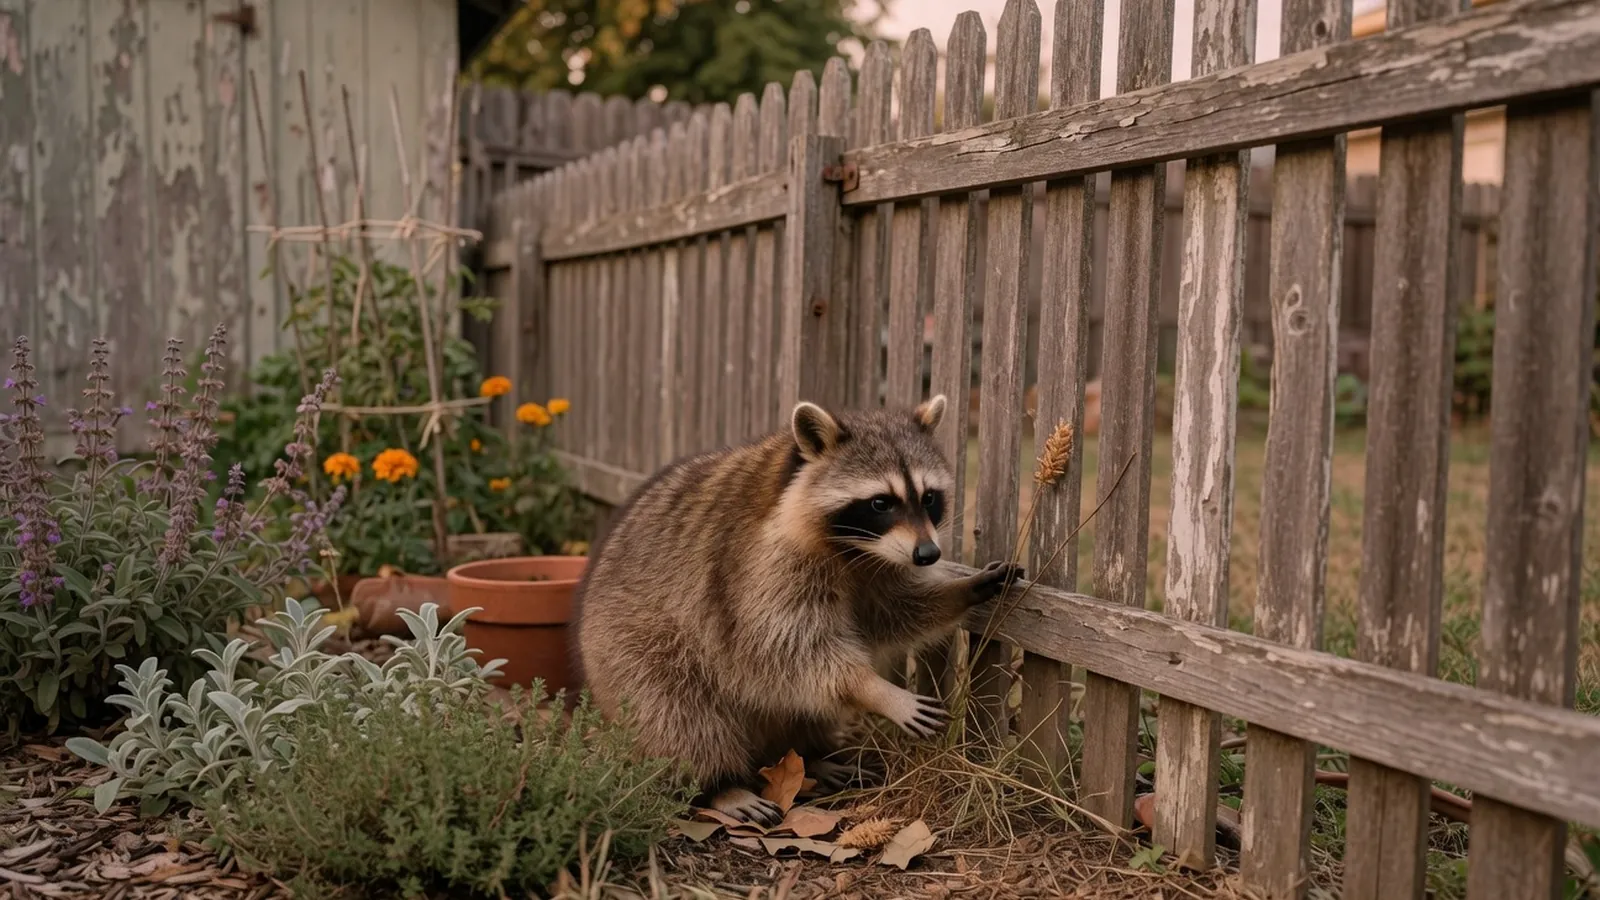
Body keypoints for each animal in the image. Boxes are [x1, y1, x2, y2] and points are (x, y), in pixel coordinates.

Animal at [571, 394, 1025, 825]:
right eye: (881, 503)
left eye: (929, 497)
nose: (929, 554)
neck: (854, 550)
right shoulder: (761, 566)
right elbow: (787, 643)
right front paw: (875, 689)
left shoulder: (877, 566)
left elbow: (890, 613)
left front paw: (961, 590)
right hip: (631, 649)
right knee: (677, 712)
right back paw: (721, 784)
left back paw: (809, 754)